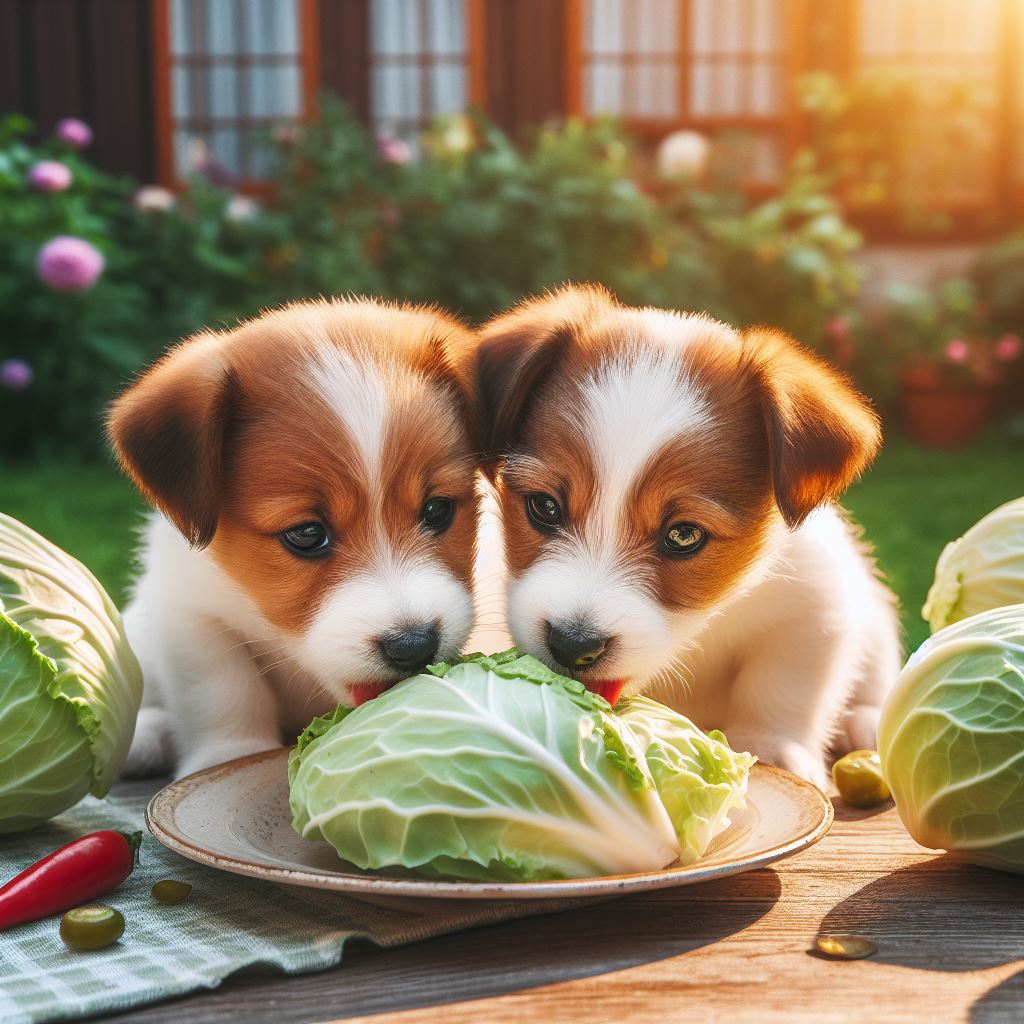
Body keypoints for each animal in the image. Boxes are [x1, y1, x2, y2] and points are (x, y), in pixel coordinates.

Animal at [109, 299, 479, 778]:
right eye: (306, 534)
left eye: (437, 509)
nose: (414, 646)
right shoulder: (190, 609)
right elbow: (221, 687)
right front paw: (230, 755)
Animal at [471, 284, 897, 786]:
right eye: (544, 507)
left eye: (683, 535)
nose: (573, 645)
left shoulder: (815, 603)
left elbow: (783, 686)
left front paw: (771, 744)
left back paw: (865, 721)